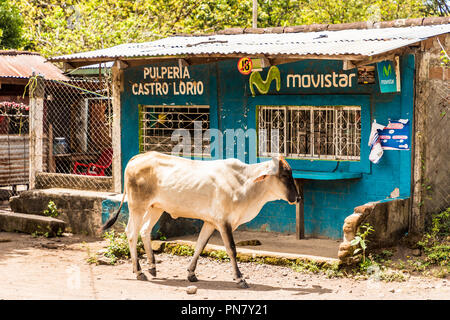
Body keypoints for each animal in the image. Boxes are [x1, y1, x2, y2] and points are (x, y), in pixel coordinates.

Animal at [102, 151, 298, 288]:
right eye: (284, 175)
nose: (297, 197)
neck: (245, 183)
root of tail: (138, 157)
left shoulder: (211, 222)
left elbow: (200, 245)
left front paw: (191, 273)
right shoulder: (224, 222)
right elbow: (231, 249)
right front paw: (240, 278)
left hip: (155, 208)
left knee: (145, 231)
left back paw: (152, 267)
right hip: (137, 206)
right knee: (131, 233)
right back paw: (139, 271)